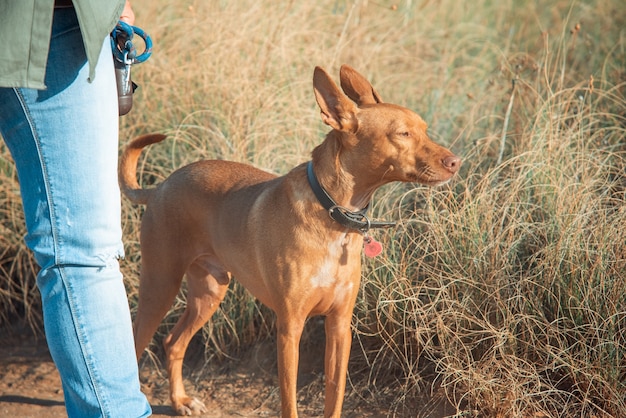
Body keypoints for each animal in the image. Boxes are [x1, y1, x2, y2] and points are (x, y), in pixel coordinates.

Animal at [120, 63, 458, 416]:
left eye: (424, 129)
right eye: (402, 134)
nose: (455, 162)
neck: (333, 217)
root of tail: (160, 187)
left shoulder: (340, 326)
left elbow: (335, 397)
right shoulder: (289, 328)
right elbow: (289, 401)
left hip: (209, 293)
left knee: (173, 343)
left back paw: (180, 400)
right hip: (160, 285)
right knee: (137, 345)